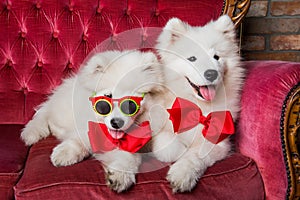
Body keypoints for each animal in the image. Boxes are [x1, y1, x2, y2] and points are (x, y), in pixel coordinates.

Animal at [20, 50, 164, 192]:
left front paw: (120, 176)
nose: (116, 122)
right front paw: (63, 154)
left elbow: (129, 159)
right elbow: (79, 141)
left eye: (131, 103)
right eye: (107, 97)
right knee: (47, 118)